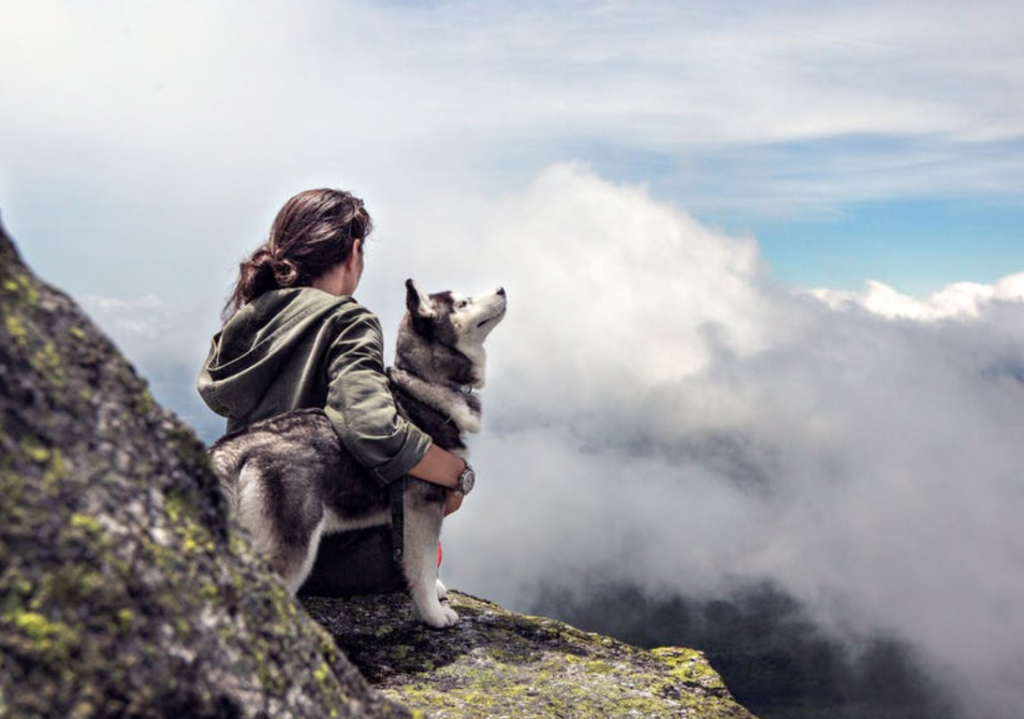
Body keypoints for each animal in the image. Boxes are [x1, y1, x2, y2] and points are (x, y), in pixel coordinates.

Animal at [208, 278, 507, 626]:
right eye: (462, 303)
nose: (502, 289)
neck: (423, 385)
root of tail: (237, 445)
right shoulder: (423, 507)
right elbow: (422, 564)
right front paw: (433, 614)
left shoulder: (404, 517)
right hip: (293, 544)